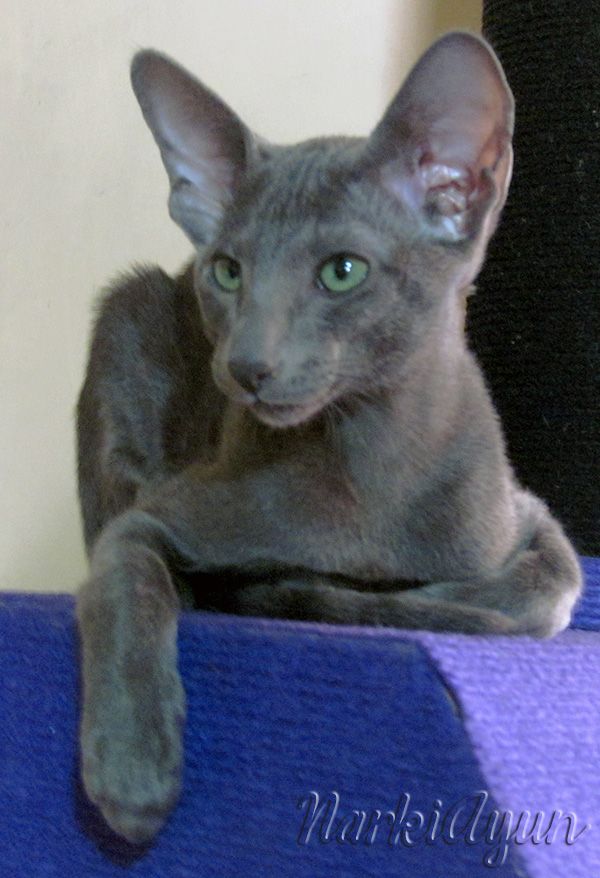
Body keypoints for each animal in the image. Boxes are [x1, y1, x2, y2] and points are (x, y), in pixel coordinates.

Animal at [75, 34, 580, 844]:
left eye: (343, 272)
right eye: (228, 272)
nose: (244, 365)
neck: (366, 467)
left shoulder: (525, 515)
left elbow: (548, 588)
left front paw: (421, 597)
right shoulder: (153, 518)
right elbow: (127, 582)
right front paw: (132, 768)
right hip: (129, 307)